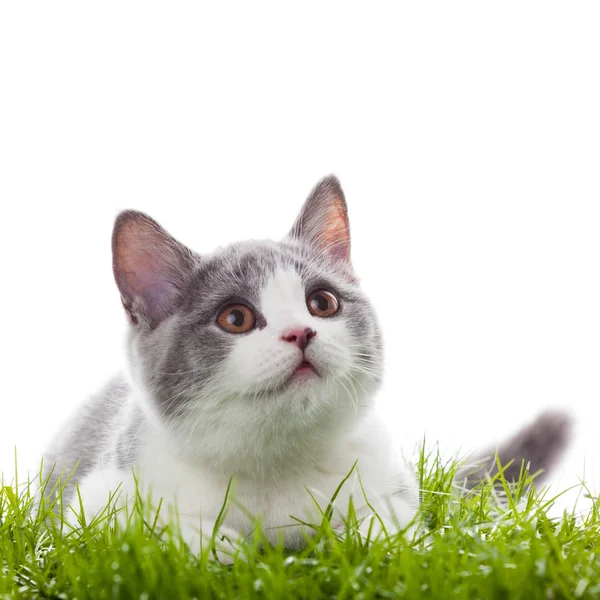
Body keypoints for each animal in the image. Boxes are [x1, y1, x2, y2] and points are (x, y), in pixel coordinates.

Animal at [43, 176, 572, 560]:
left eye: (322, 303)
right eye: (235, 318)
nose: (301, 332)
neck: (276, 462)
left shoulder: (393, 480)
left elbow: (399, 525)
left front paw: (368, 536)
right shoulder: (95, 500)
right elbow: (132, 526)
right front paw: (215, 544)